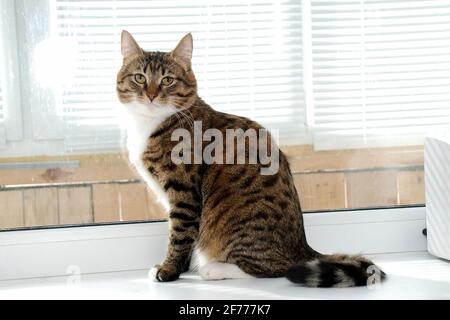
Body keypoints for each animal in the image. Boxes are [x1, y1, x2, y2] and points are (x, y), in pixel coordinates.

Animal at [117, 30, 386, 288]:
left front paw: (168, 270)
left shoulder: (184, 193)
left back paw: (214, 269)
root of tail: (302, 247)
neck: (151, 123)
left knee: (277, 268)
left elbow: (179, 235)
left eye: (167, 80)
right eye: (139, 78)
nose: (151, 95)